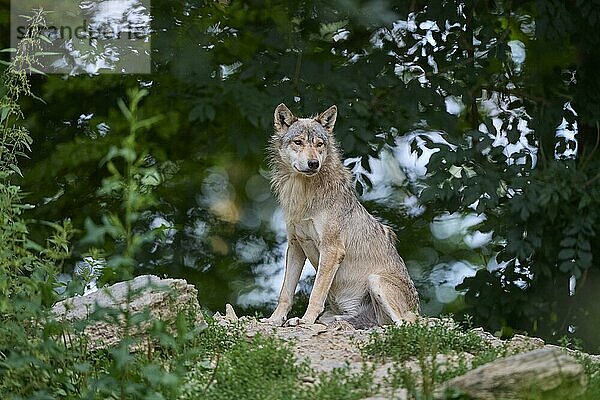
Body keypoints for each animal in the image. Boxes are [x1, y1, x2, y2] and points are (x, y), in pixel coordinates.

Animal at [262, 103, 422, 328]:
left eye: (319, 144)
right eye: (298, 142)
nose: (313, 163)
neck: (304, 194)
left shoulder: (332, 249)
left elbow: (316, 293)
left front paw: (306, 321)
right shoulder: (295, 247)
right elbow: (285, 293)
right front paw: (274, 320)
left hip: (376, 280)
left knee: (404, 324)